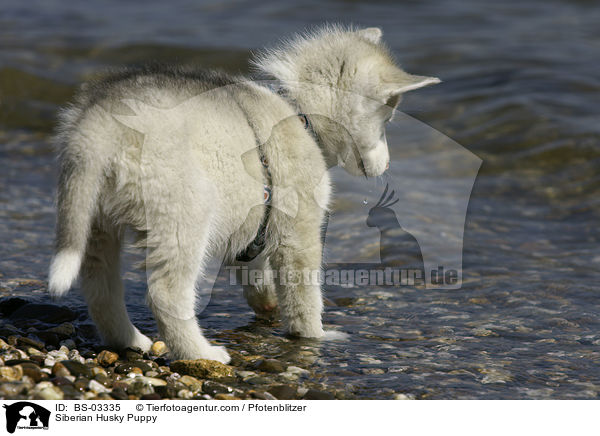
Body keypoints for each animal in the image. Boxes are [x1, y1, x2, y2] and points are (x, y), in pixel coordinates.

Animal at [49, 25, 438, 362]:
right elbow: (304, 293)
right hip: (184, 215)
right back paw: (201, 353)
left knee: (100, 288)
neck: (300, 113)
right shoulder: (298, 228)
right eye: (388, 118)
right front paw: (315, 336)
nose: (386, 166)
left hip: (96, 218)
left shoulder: (256, 225)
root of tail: (98, 125)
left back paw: (129, 340)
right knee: (166, 294)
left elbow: (256, 272)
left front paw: (268, 306)